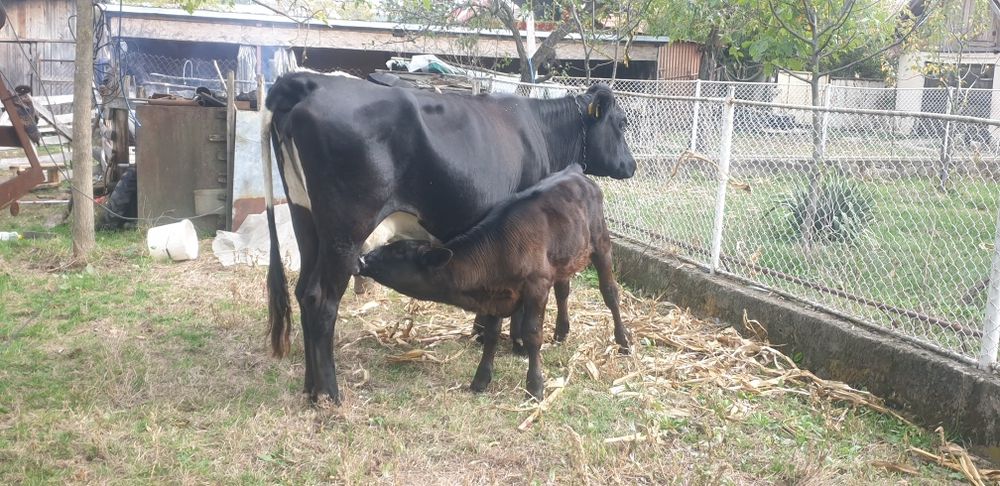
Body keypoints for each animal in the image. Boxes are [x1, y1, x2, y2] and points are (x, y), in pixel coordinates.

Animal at [357, 164, 630, 400]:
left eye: (398, 252)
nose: (363, 259)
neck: (500, 250)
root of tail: (575, 170)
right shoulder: (493, 293)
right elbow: (491, 335)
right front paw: (480, 380)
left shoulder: (537, 285)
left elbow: (532, 334)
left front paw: (535, 386)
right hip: (564, 258)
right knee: (563, 290)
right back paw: (561, 332)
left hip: (601, 244)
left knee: (610, 293)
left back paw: (623, 341)